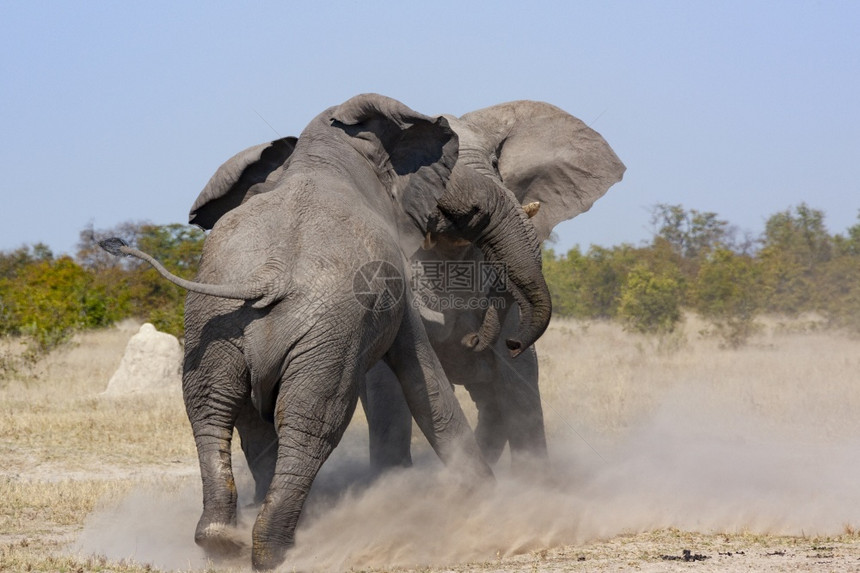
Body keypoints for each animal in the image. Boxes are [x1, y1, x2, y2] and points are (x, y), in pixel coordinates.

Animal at [99, 94, 556, 568]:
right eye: (463, 205)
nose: (510, 342)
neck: (326, 153)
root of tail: (267, 281)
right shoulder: (390, 276)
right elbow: (423, 378)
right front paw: (488, 502)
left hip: (216, 329)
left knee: (214, 408)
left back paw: (222, 539)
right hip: (324, 335)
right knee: (313, 422)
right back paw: (275, 549)